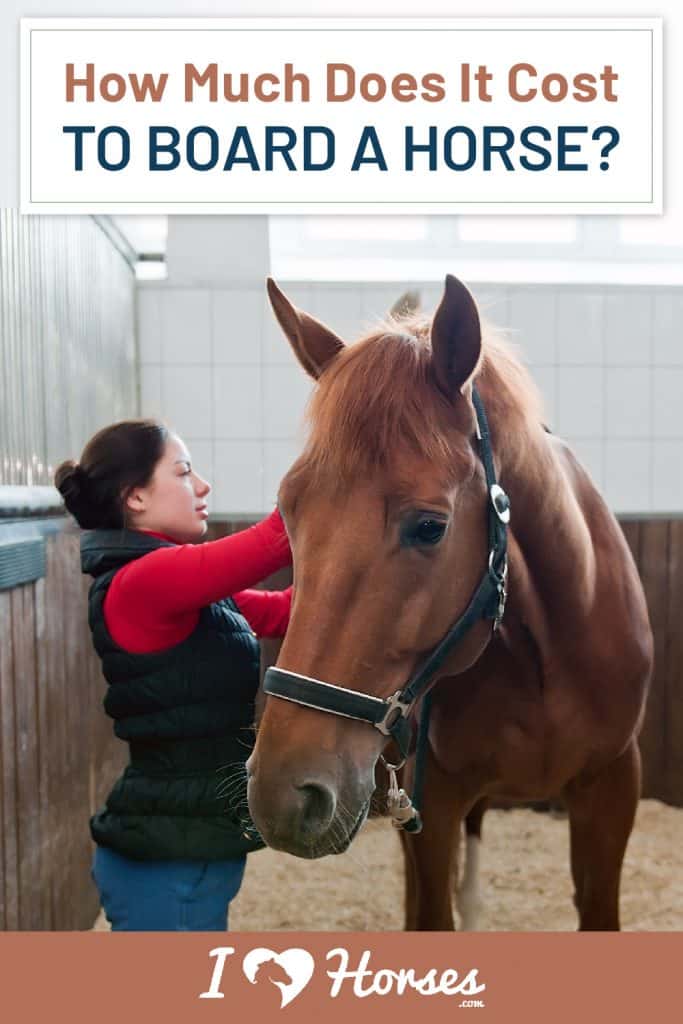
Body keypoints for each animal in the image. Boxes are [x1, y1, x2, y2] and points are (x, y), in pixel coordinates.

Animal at [246, 274, 653, 931]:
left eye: (430, 527)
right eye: (288, 511)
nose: (283, 795)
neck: (545, 655)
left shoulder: (613, 784)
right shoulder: (429, 805)